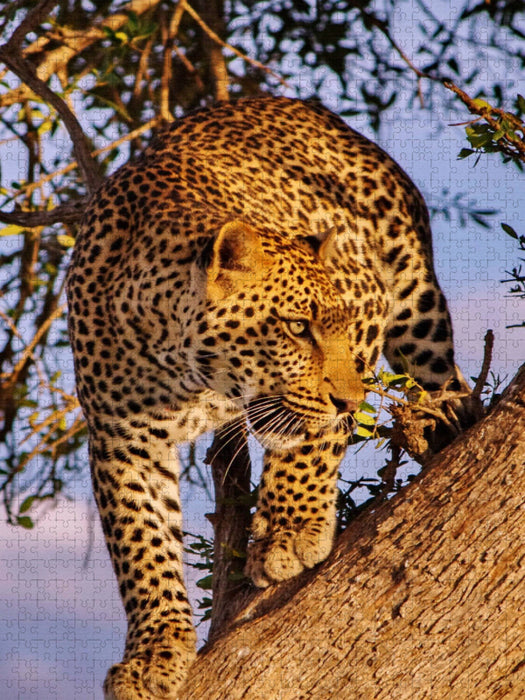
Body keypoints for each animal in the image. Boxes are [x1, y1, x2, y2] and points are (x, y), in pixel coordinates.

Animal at [66, 96, 466, 699]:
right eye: (298, 328)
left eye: (338, 326)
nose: (352, 402)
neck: (188, 372)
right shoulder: (121, 439)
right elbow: (142, 545)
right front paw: (153, 654)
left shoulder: (368, 303)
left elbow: (312, 443)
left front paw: (291, 531)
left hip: (416, 308)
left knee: (447, 381)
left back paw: (451, 422)